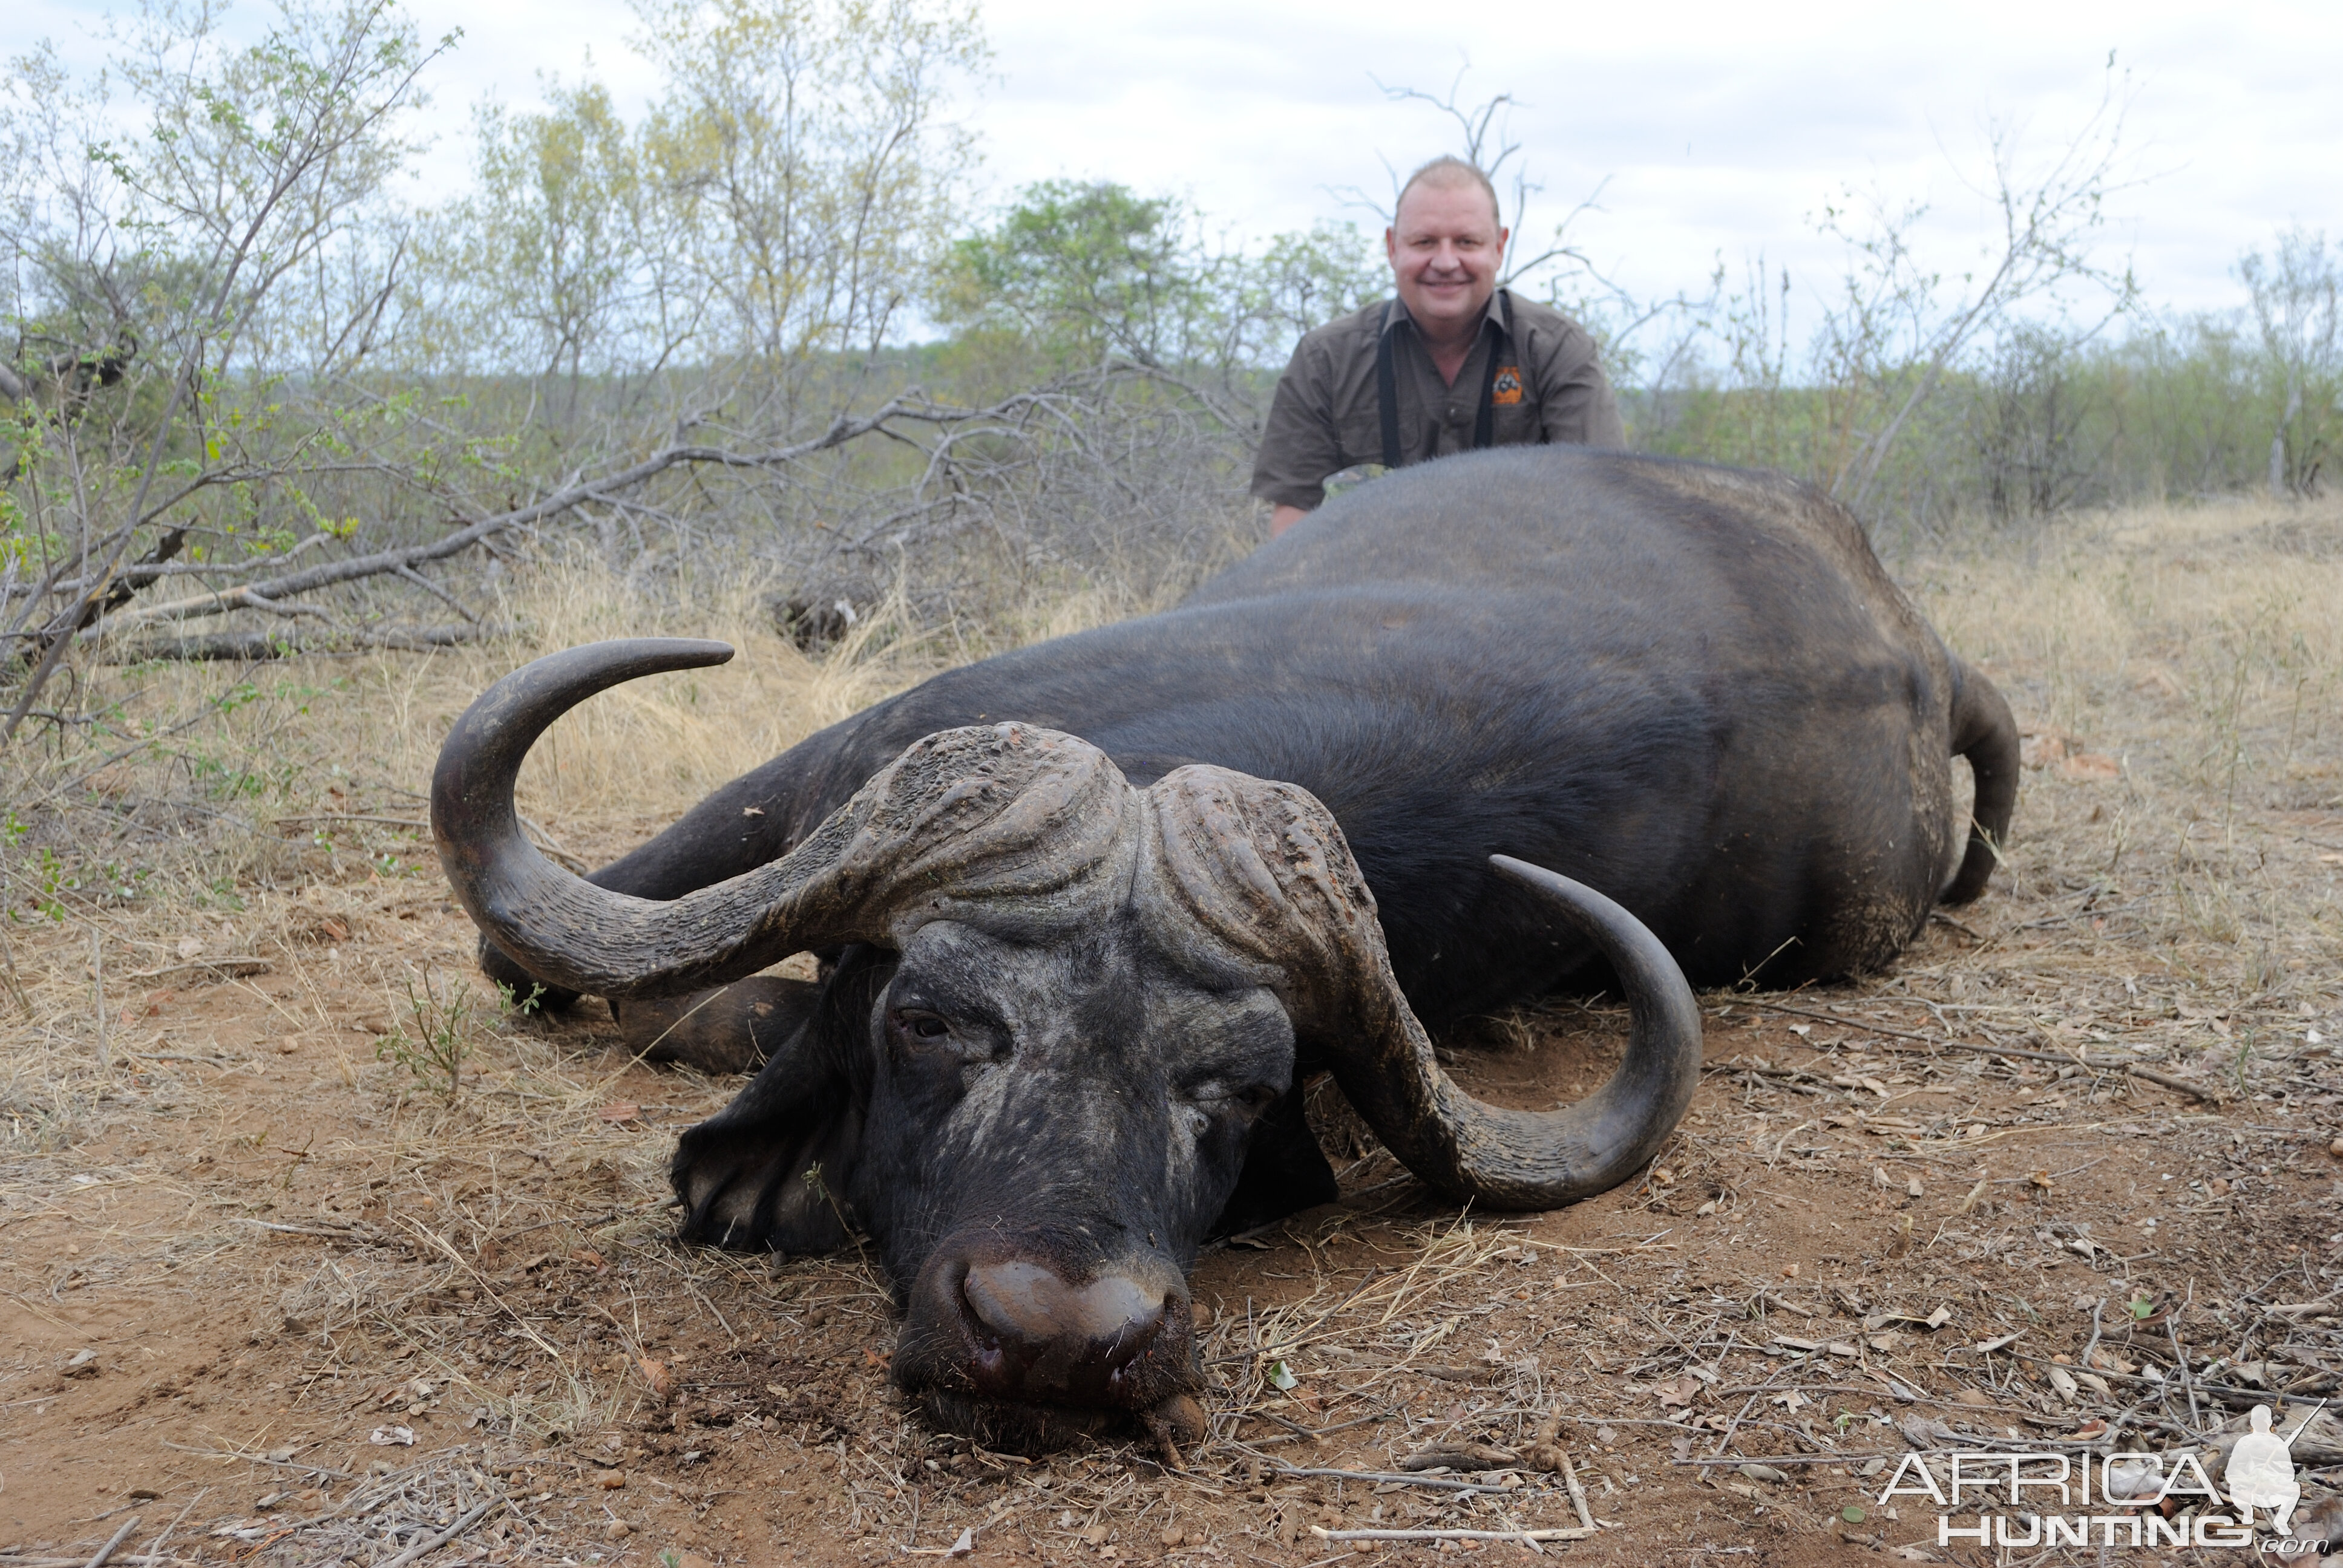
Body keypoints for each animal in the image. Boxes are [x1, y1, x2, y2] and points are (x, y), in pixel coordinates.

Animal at [436, 445, 2014, 1453]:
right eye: (931, 1020)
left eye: (1243, 1092)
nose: (1060, 1339)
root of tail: (1928, 653)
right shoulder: (824, 770)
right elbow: (536, 966)